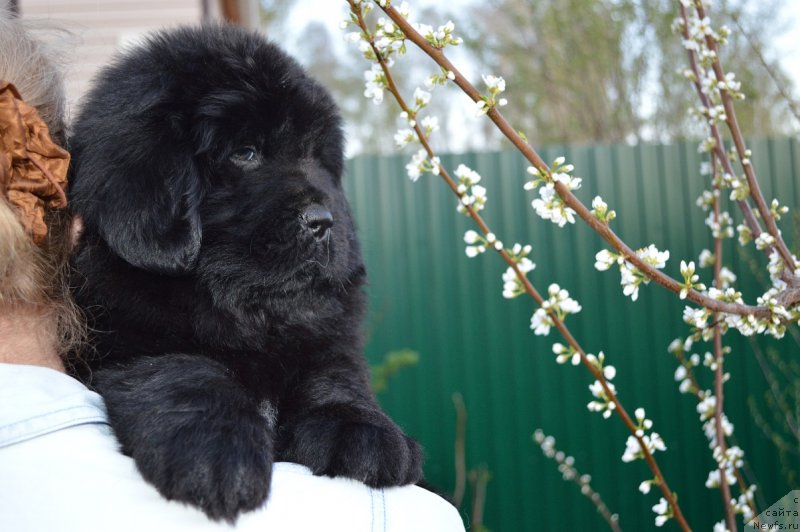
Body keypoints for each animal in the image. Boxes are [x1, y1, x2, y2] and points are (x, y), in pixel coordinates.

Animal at [68, 23, 422, 520]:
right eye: (246, 153)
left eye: (314, 156)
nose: (324, 221)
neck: (248, 311)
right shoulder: (119, 344)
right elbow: (183, 367)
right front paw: (218, 450)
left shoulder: (325, 340)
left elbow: (334, 375)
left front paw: (361, 428)